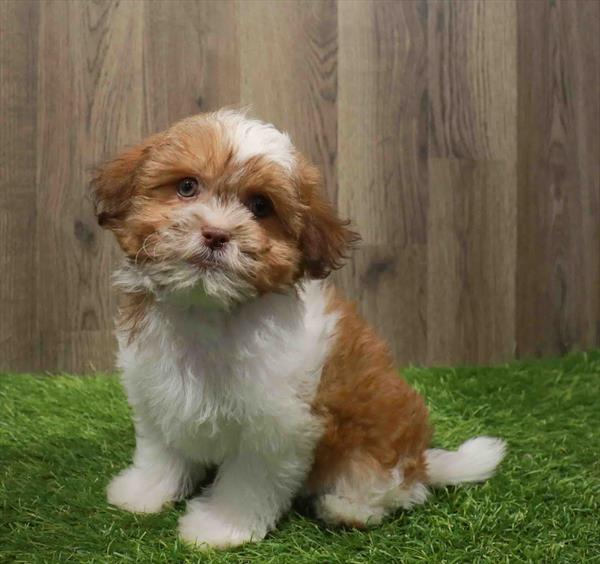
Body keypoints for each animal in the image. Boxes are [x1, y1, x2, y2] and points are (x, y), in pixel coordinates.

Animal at [92, 110, 506, 552]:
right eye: (187, 186)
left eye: (260, 206)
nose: (216, 234)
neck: (209, 310)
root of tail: (422, 461)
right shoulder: (157, 391)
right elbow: (161, 451)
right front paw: (144, 492)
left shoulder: (276, 425)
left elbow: (247, 482)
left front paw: (220, 527)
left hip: (377, 444)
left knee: (398, 489)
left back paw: (347, 508)